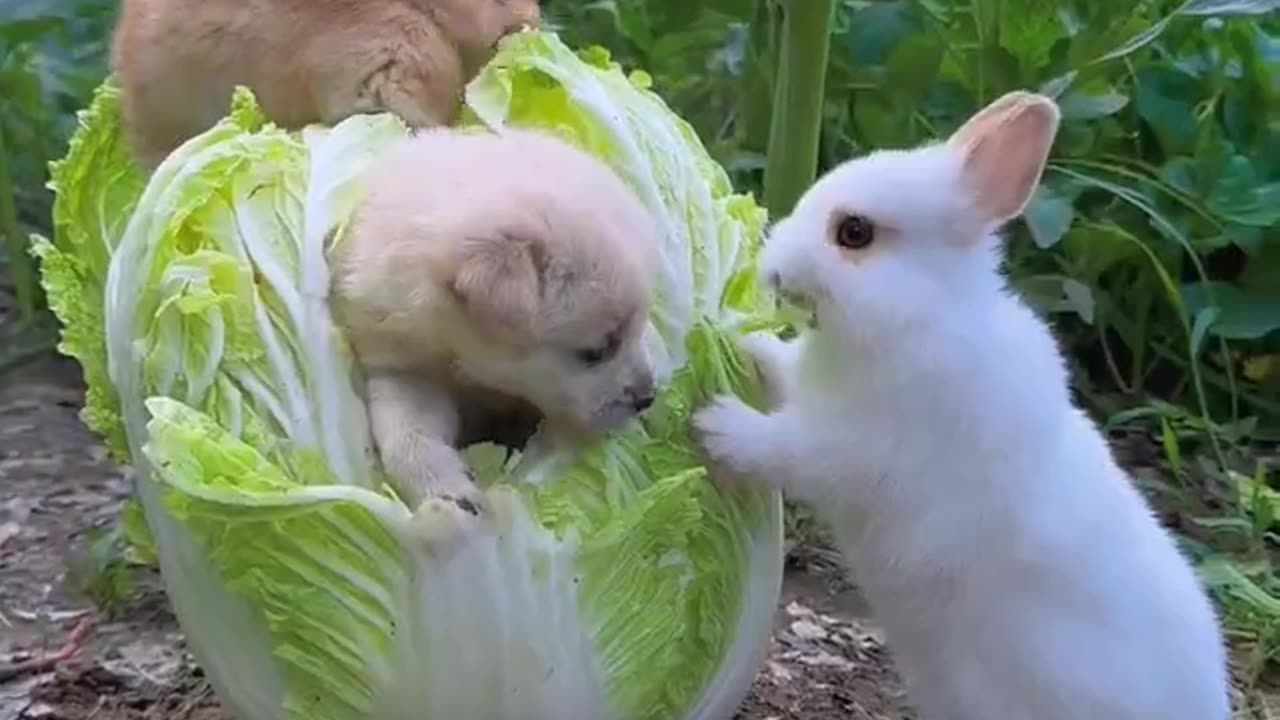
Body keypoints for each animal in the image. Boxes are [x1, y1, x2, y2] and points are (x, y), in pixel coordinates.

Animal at [330, 126, 660, 525]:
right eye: (595, 352)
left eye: (640, 326)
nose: (648, 398)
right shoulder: (403, 364)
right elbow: (408, 435)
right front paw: (451, 496)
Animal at [696, 90, 1233, 717]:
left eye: (854, 233)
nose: (773, 270)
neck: (924, 314)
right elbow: (778, 367)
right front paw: (738, 337)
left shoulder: (856, 448)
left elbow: (784, 448)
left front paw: (718, 424)